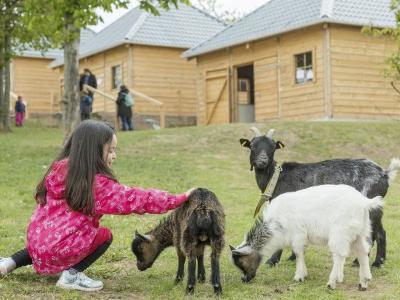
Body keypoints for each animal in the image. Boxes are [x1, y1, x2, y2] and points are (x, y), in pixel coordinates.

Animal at [230, 184, 382, 290]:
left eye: (241, 262)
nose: (244, 280)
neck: (275, 225)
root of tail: (364, 202)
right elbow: (300, 253)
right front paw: (303, 274)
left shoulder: (298, 234)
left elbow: (298, 253)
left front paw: (299, 276)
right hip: (361, 231)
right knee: (363, 251)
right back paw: (364, 282)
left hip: (340, 231)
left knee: (340, 254)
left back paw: (332, 283)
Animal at [239, 126, 398, 268]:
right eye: (252, 146)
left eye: (273, 147)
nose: (262, 161)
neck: (276, 177)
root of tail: (384, 173)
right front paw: (292, 257)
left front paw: (272, 261)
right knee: (378, 233)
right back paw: (370, 262)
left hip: (370, 207)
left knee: (375, 234)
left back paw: (371, 263)